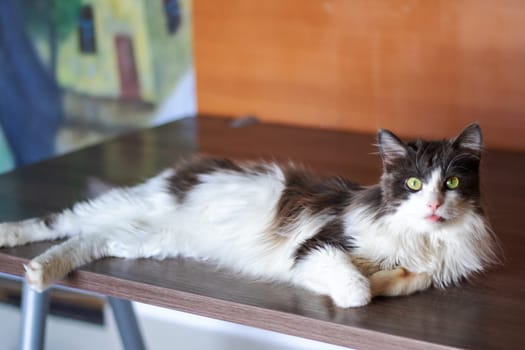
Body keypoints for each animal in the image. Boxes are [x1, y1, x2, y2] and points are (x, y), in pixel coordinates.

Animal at [0, 124, 500, 308]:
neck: (425, 239)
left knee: (87, 240)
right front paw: (355, 286)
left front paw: (383, 278)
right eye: (414, 185)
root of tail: (186, 166)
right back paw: (12, 236)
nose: (433, 205)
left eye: (450, 183)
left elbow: (403, 279)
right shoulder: (318, 244)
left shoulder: (429, 271)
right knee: (63, 220)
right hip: (132, 206)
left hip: (142, 239)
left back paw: (39, 274)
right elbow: (357, 290)